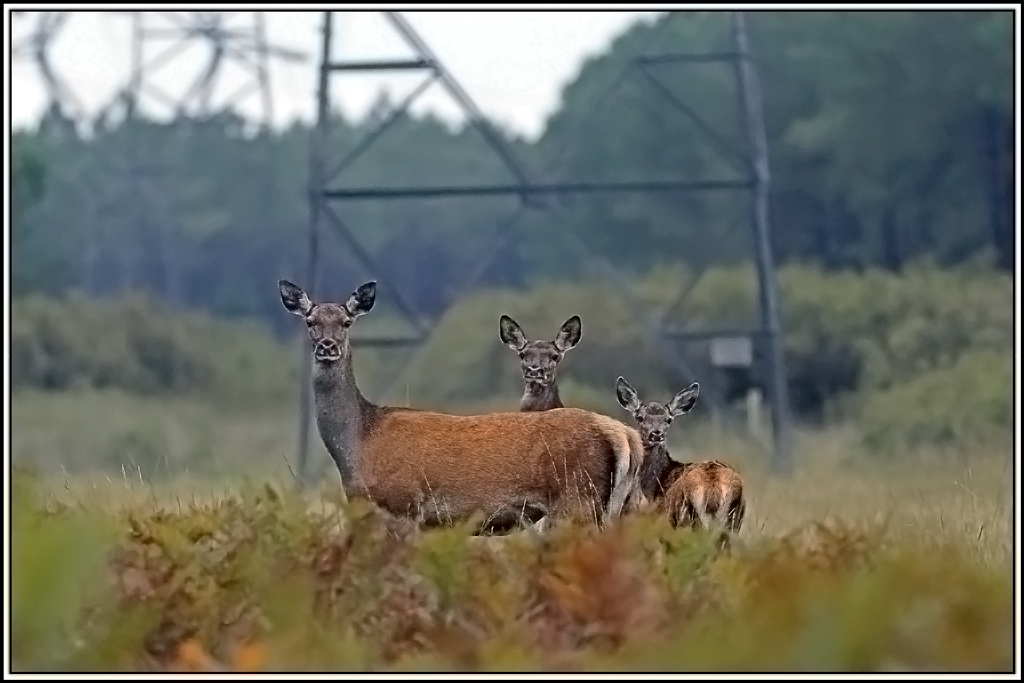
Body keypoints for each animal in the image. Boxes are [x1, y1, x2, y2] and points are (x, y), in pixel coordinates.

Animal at [278, 278, 642, 535]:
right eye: (310, 321)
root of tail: (624, 435)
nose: (328, 346)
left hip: (576, 501)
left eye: (346, 322)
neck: (358, 446)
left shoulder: (405, 504)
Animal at [614, 376, 746, 551]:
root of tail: (714, 489)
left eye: (668, 420)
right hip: (733, 522)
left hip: (688, 519)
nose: (656, 434)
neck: (659, 485)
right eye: (640, 417)